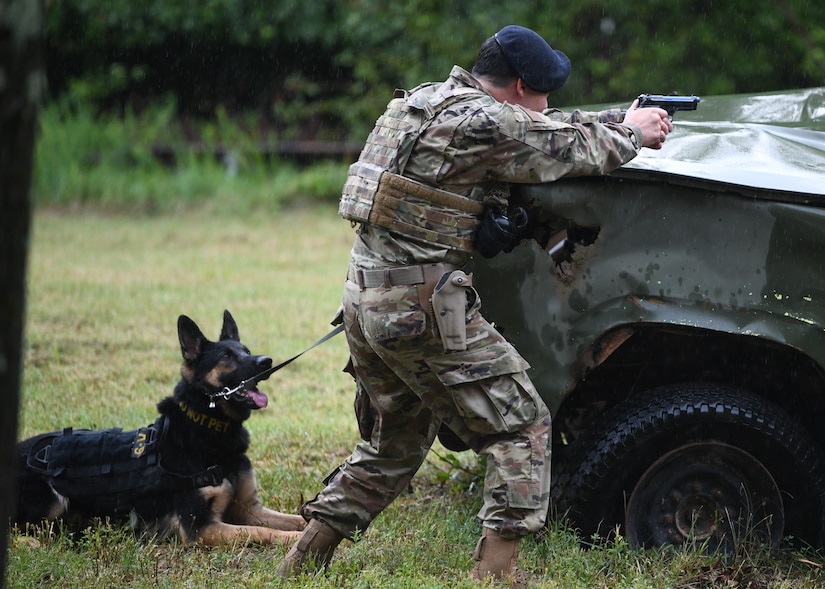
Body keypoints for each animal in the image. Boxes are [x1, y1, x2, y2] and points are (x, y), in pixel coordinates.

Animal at [14, 310, 306, 544]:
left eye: (246, 350)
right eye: (226, 356)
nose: (267, 362)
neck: (211, 430)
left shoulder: (248, 508)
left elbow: (295, 518)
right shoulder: (200, 528)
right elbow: (259, 531)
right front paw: (294, 539)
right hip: (53, 500)